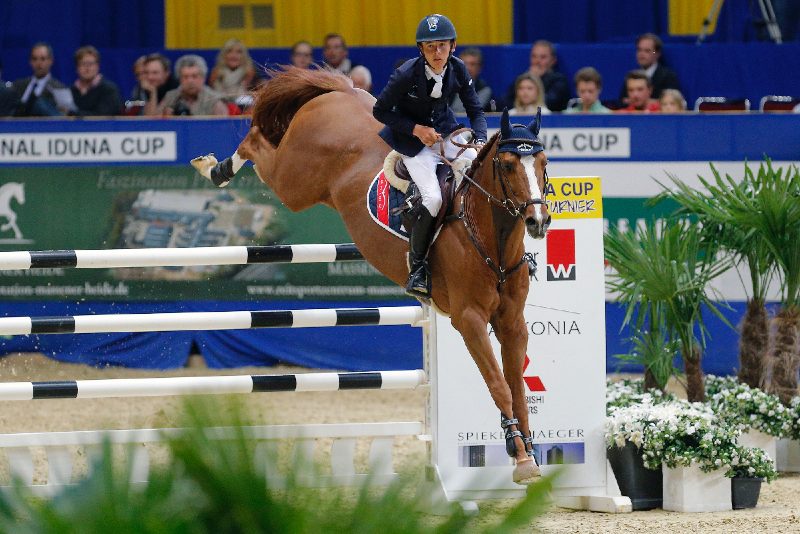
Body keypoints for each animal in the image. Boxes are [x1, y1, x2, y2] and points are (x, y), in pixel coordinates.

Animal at [192, 68, 552, 486]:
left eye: (542, 162)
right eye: (508, 165)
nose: (538, 221)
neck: (488, 236)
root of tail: (341, 92)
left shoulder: (512, 322)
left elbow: (517, 389)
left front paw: (528, 452)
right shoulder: (470, 319)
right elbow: (498, 385)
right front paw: (519, 455)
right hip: (294, 183)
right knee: (256, 145)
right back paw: (213, 168)